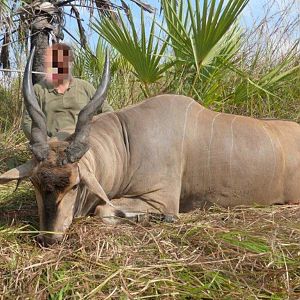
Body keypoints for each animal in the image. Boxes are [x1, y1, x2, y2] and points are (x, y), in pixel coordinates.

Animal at [0, 49, 300, 246]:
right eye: (35, 183)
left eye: (75, 185)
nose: (49, 239)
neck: (128, 143)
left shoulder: (161, 199)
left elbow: (104, 210)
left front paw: (156, 220)